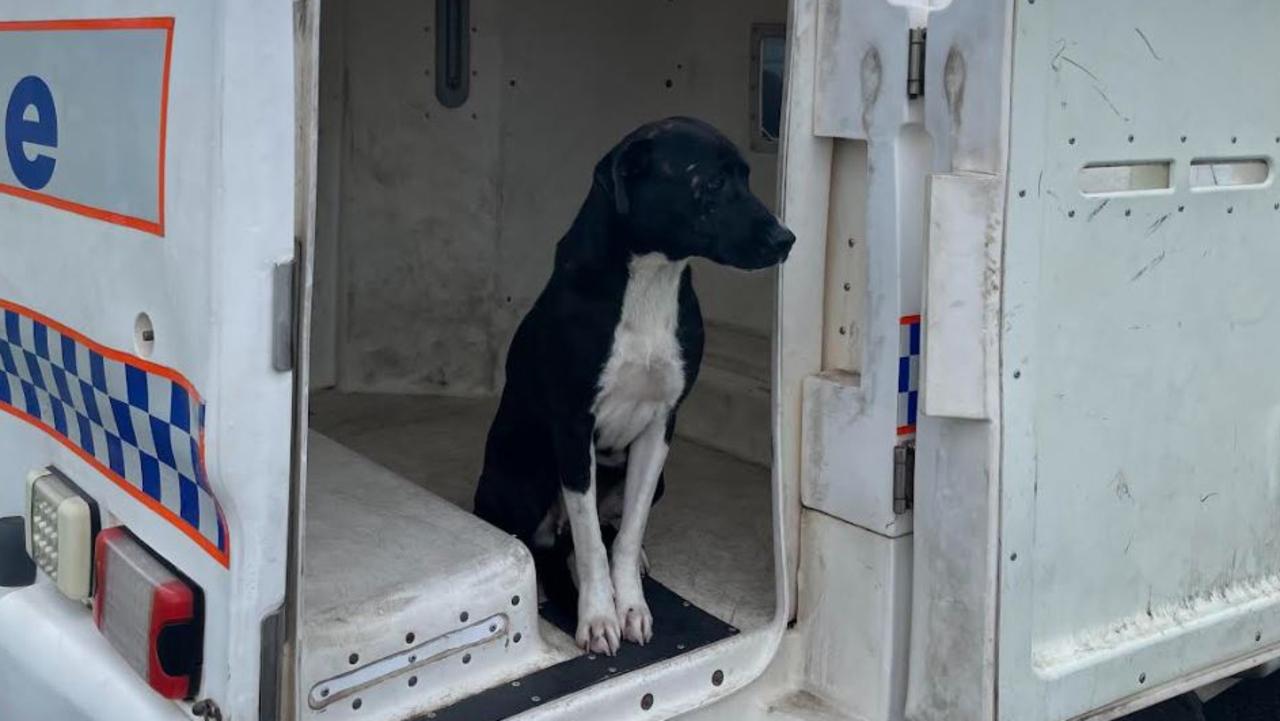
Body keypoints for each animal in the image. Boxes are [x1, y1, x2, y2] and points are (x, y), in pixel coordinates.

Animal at [476, 117, 793, 655]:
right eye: (711, 182)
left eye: (748, 178)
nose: (786, 238)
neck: (649, 278)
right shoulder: (572, 426)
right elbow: (589, 545)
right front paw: (598, 617)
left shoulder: (660, 424)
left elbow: (624, 533)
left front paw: (630, 606)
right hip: (524, 469)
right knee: (540, 537)